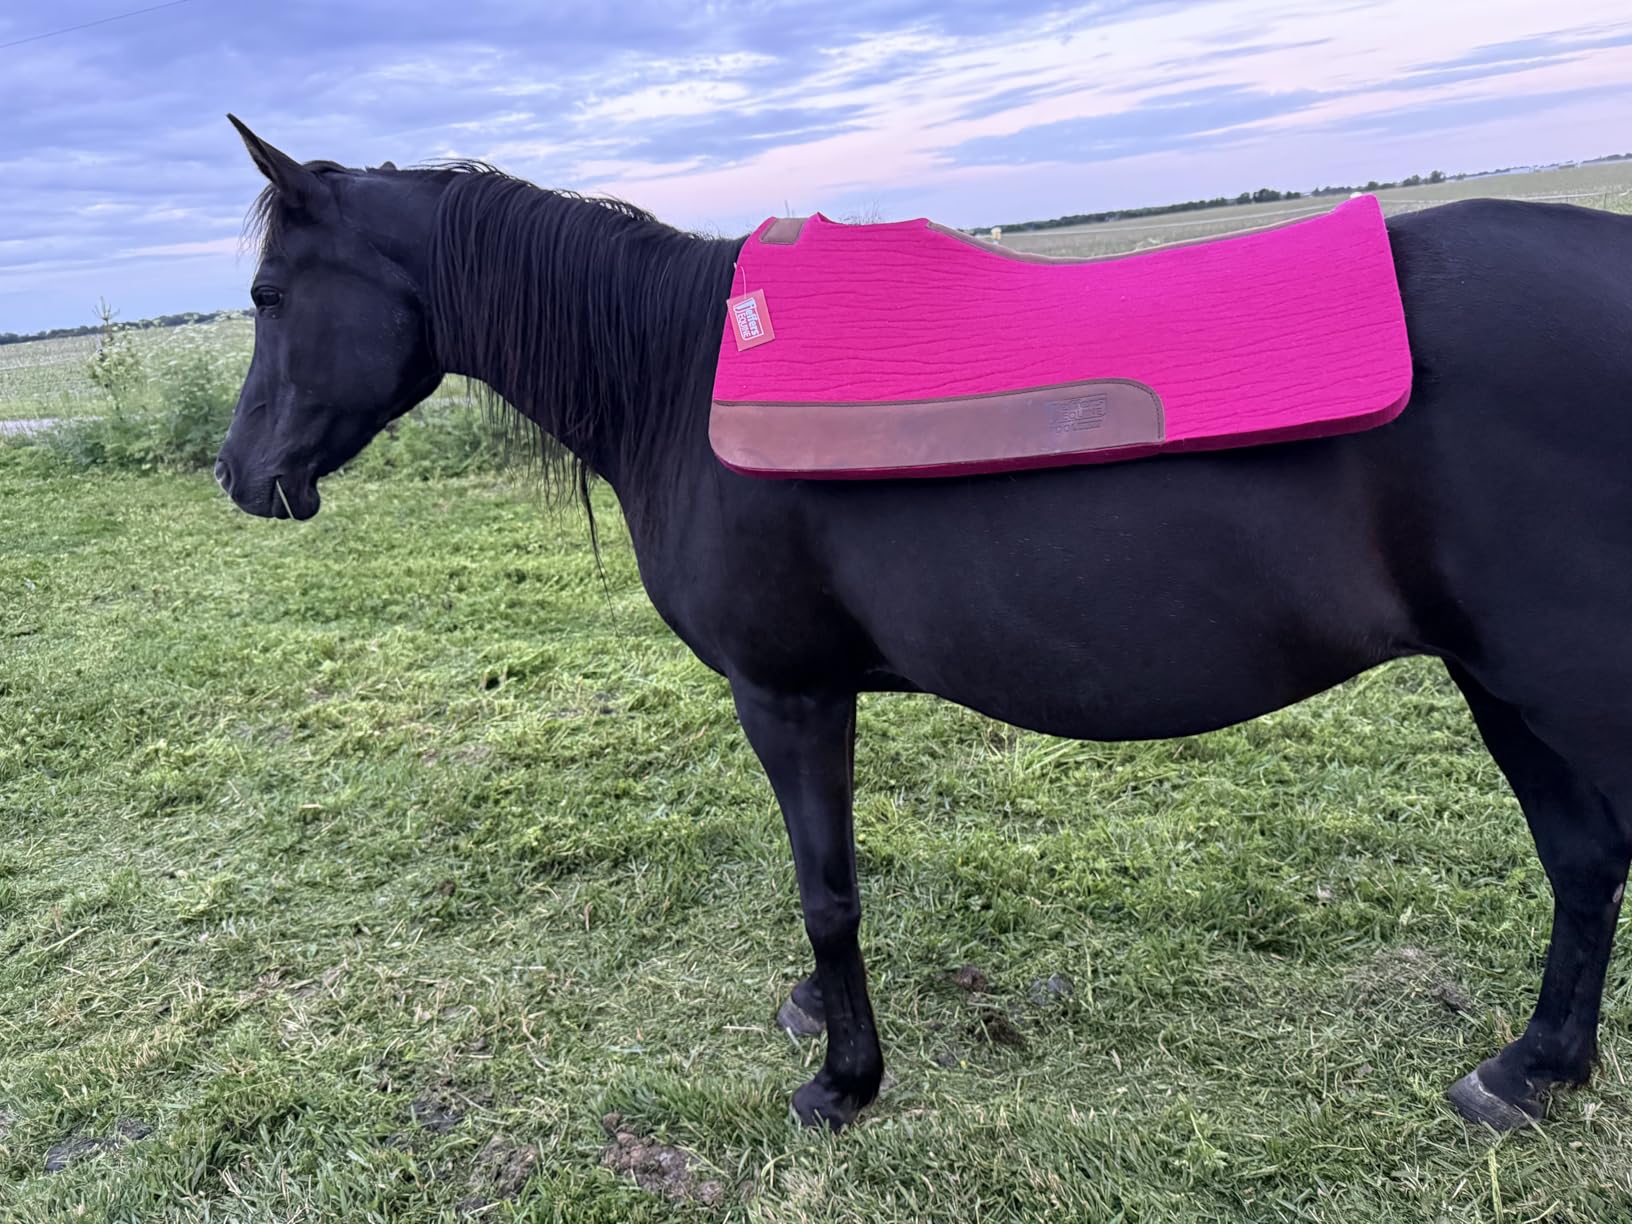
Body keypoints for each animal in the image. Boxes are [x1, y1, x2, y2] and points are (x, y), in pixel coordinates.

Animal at [212, 115, 1632, 1133]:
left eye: (271, 295)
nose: (239, 475)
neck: (678, 375)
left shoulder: (786, 691)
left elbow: (826, 887)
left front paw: (844, 1080)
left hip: (1561, 684)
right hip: (1504, 683)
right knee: (1583, 860)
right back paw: (1532, 1071)